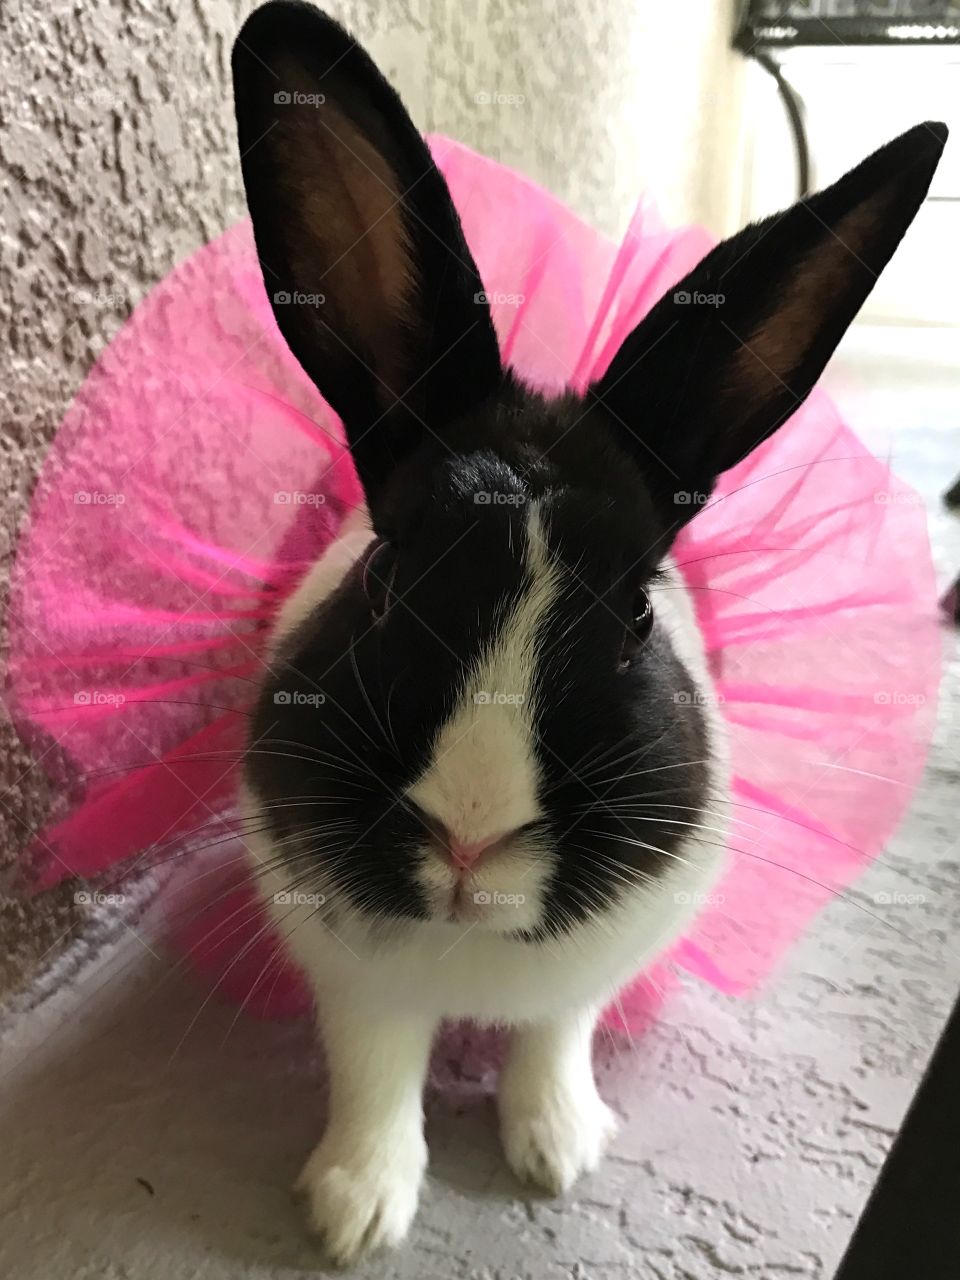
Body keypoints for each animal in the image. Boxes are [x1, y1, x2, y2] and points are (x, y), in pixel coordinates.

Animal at [231, 0, 946, 1263]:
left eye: (635, 618)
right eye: (385, 576)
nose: (471, 836)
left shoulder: (587, 973)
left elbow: (553, 1038)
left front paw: (557, 1151)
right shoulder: (357, 982)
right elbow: (375, 1076)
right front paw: (357, 1210)